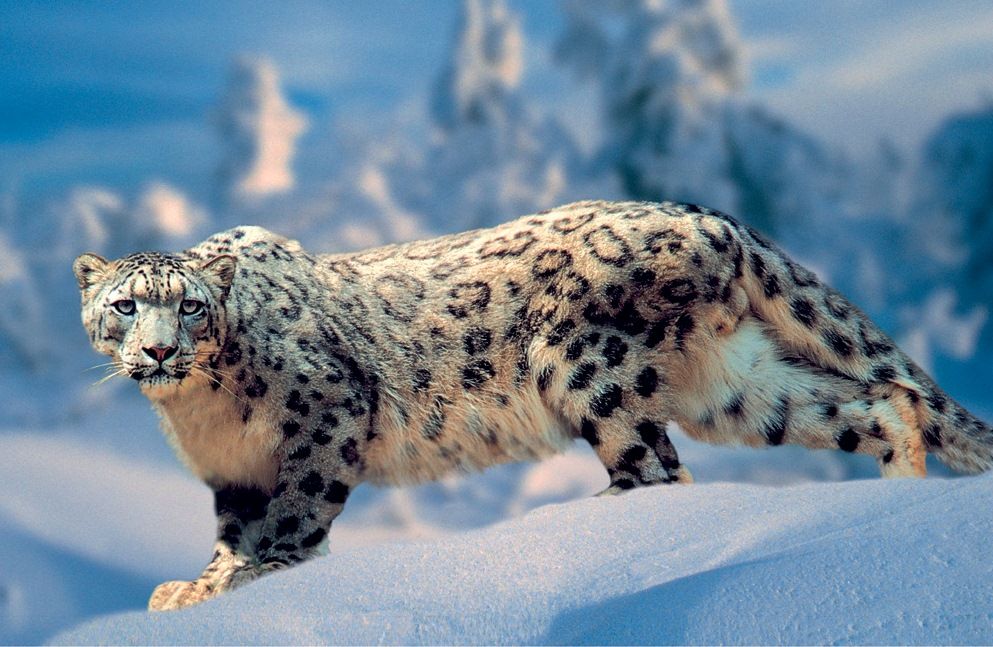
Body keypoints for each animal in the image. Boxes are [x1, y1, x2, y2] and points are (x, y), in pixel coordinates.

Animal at [73, 200, 993, 611]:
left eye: (192, 308)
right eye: (126, 305)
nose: (159, 350)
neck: (201, 412)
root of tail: (712, 218)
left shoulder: (326, 415)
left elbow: (296, 518)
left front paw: (250, 581)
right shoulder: (234, 474)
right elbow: (232, 533)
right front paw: (197, 586)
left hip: (582, 363)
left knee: (657, 468)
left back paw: (576, 521)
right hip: (736, 384)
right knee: (880, 400)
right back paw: (899, 489)